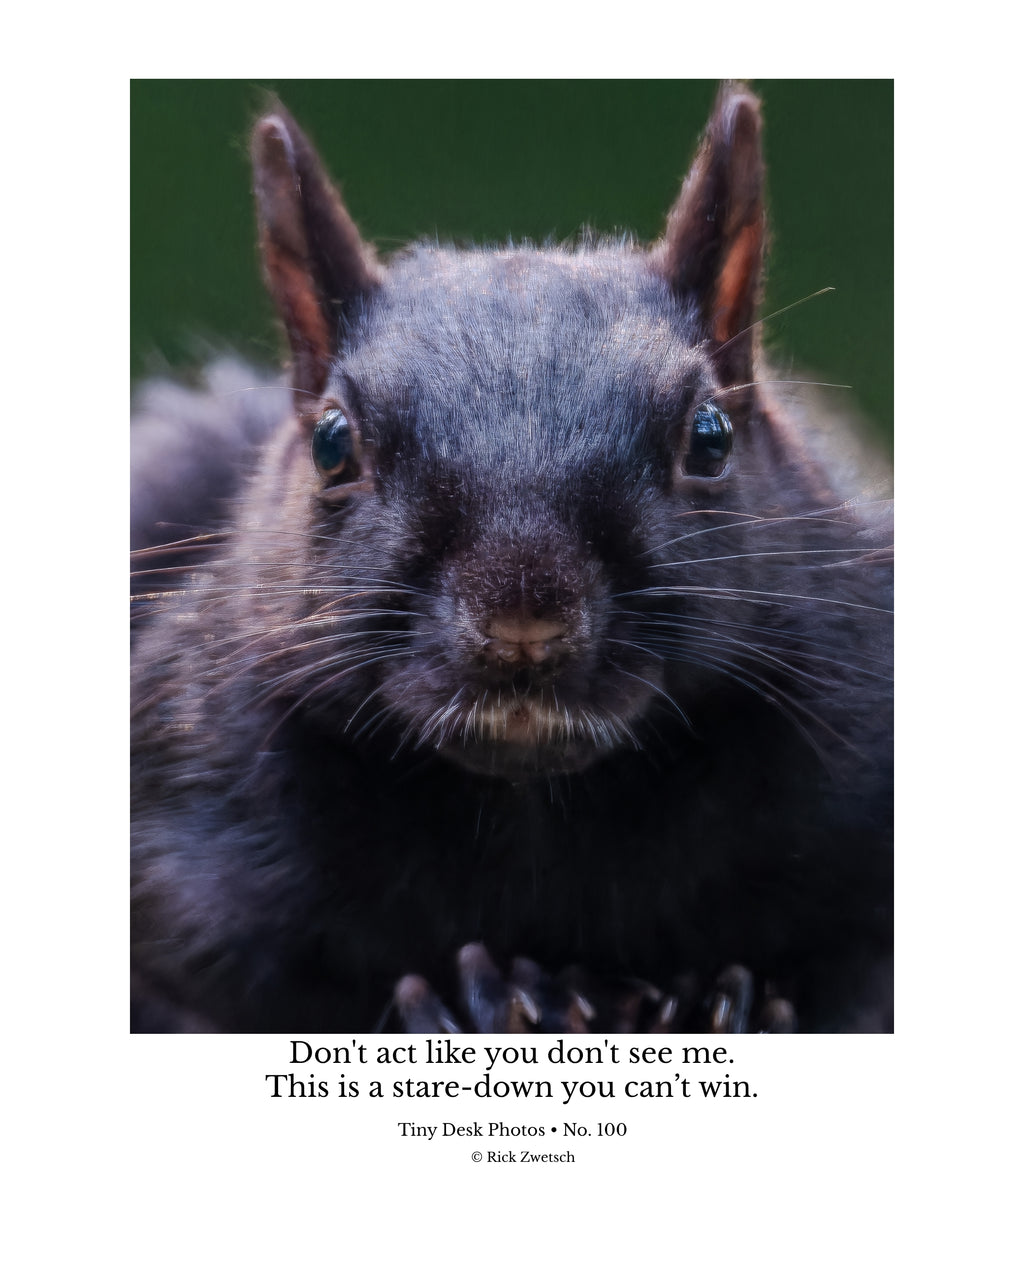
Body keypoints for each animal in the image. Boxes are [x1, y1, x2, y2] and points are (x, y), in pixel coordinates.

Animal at [131, 83, 892, 1033]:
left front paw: (727, 1000)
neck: (534, 811)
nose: (522, 618)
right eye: (332, 444)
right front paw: (484, 1000)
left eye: (712, 437)